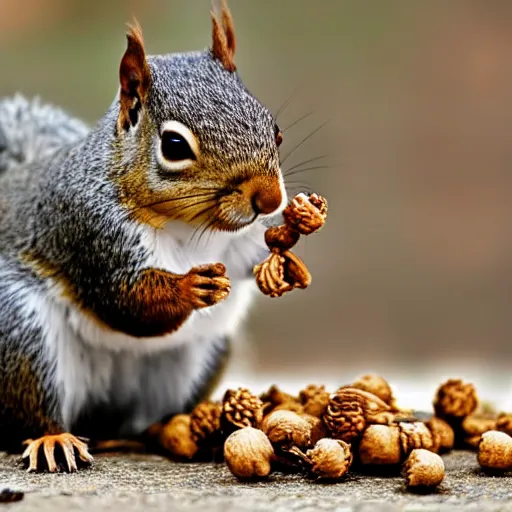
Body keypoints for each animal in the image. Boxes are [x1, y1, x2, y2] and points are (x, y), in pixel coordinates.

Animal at [0, 0, 288, 472]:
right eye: (174, 145)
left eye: (273, 128)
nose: (270, 199)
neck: (190, 227)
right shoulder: (91, 231)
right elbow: (127, 301)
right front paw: (189, 286)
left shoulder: (241, 241)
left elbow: (253, 260)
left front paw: (285, 255)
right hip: (21, 333)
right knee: (31, 411)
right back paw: (54, 438)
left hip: (195, 357)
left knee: (140, 420)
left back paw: (171, 428)